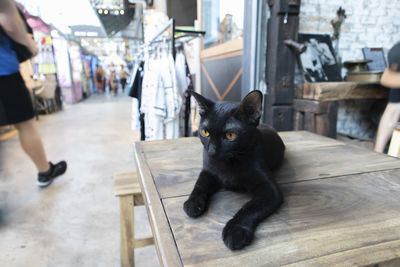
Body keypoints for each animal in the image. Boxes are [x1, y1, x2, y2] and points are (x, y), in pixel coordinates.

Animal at [184, 90, 284, 251]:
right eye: (205, 132)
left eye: (230, 135)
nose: (211, 151)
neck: (228, 164)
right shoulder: (208, 171)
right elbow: (199, 185)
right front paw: (192, 203)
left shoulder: (270, 188)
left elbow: (250, 208)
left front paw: (236, 231)